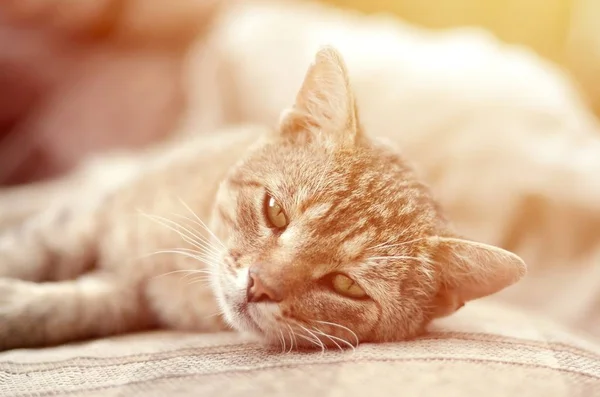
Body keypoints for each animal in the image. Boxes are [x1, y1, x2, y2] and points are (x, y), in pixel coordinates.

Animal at [0, 48, 524, 350]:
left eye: (346, 285)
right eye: (276, 211)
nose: (259, 286)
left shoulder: (127, 296)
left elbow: (69, 309)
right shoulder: (91, 217)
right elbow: (31, 249)